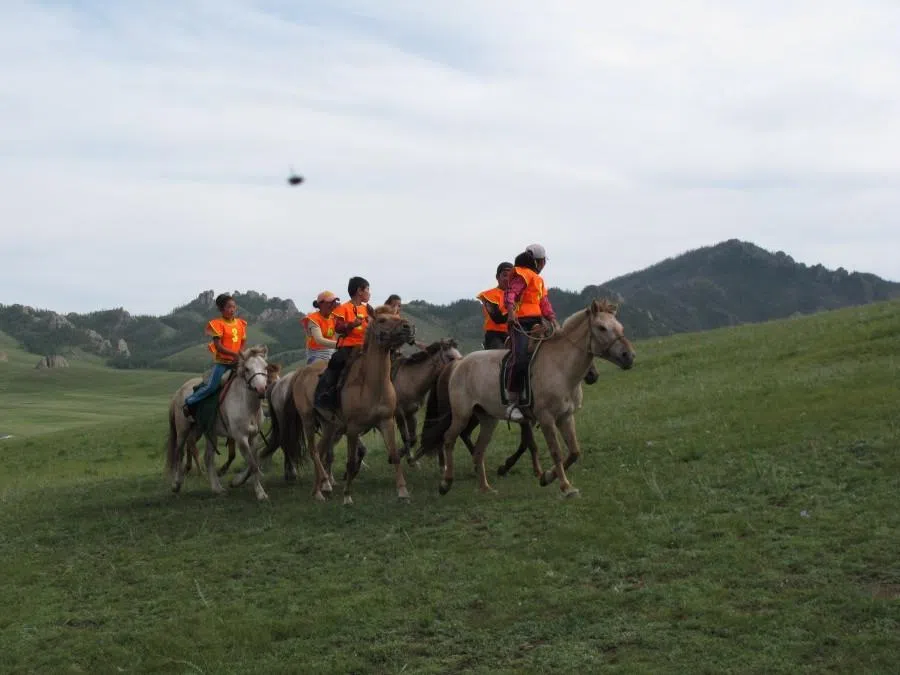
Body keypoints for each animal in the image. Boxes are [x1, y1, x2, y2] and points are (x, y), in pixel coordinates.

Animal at [165, 345, 271, 500]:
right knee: (179, 453)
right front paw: (260, 493)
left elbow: (254, 464)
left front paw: (237, 481)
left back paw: (217, 489)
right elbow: (252, 465)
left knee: (207, 457)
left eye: (265, 367)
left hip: (205, 431)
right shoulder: (241, 438)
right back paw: (176, 484)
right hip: (183, 431)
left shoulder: (254, 437)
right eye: (247, 369)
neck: (246, 404)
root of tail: (179, 392)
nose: (261, 390)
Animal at [288, 306, 415, 503]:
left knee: (320, 450)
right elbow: (350, 461)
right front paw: (347, 495)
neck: (371, 384)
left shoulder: (386, 422)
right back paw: (323, 483)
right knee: (313, 451)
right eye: (382, 320)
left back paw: (318, 489)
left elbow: (394, 454)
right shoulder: (353, 429)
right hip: (307, 419)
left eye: (397, 315)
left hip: (328, 425)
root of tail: (300, 373)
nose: (407, 327)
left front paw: (403, 491)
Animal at [419, 300, 635, 497]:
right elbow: (555, 451)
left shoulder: (565, 417)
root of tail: (459, 364)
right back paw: (445, 483)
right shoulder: (546, 418)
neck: (560, 367)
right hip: (462, 415)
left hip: (488, 419)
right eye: (601, 327)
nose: (629, 356)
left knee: (479, 450)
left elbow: (574, 451)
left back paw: (485, 487)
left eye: (621, 327)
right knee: (448, 439)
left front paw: (546, 477)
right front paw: (565, 486)